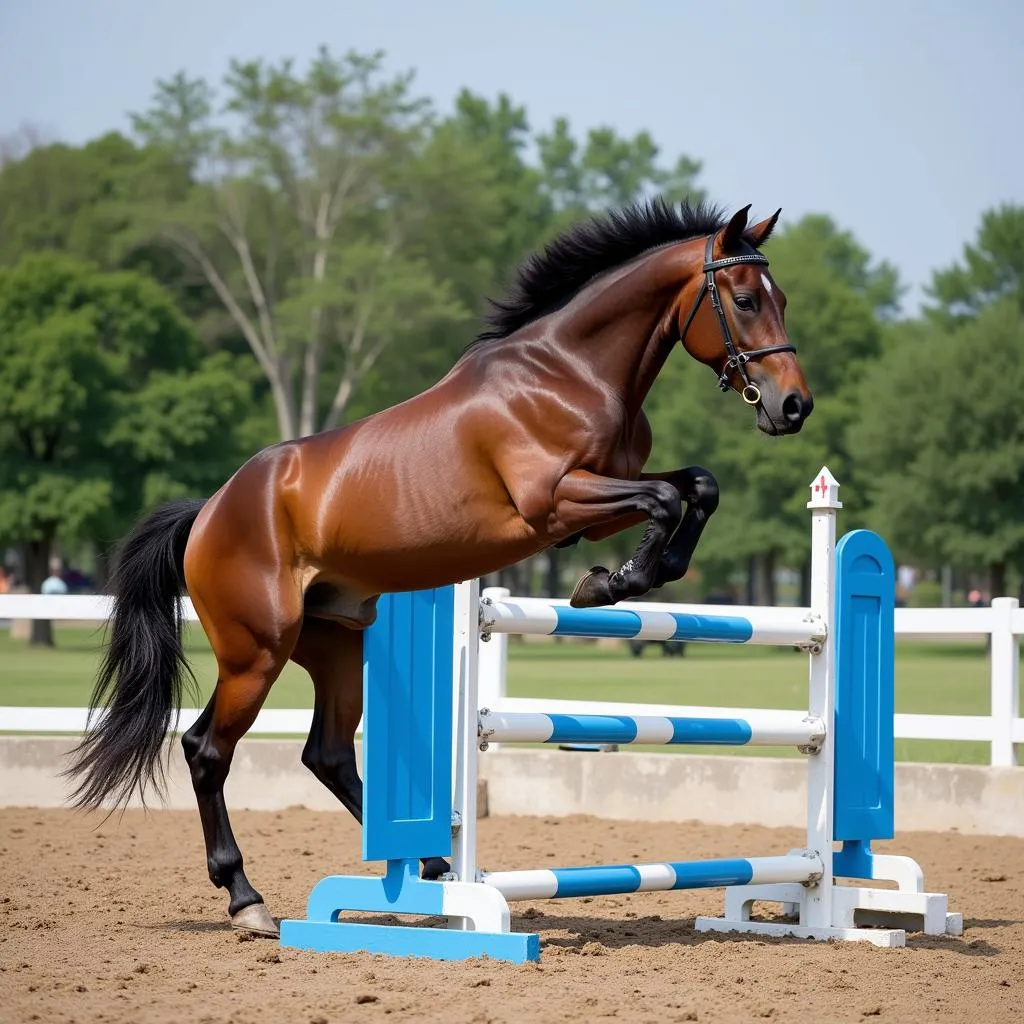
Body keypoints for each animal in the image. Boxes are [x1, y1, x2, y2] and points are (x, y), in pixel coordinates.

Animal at [64, 197, 815, 937]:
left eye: (781, 298)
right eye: (745, 300)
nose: (794, 406)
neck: (568, 372)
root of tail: (210, 511)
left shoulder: (599, 504)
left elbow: (697, 486)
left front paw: (642, 572)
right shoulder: (556, 502)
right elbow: (664, 498)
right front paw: (610, 583)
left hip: (335, 645)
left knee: (327, 754)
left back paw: (431, 869)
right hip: (257, 651)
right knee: (206, 751)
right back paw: (248, 899)